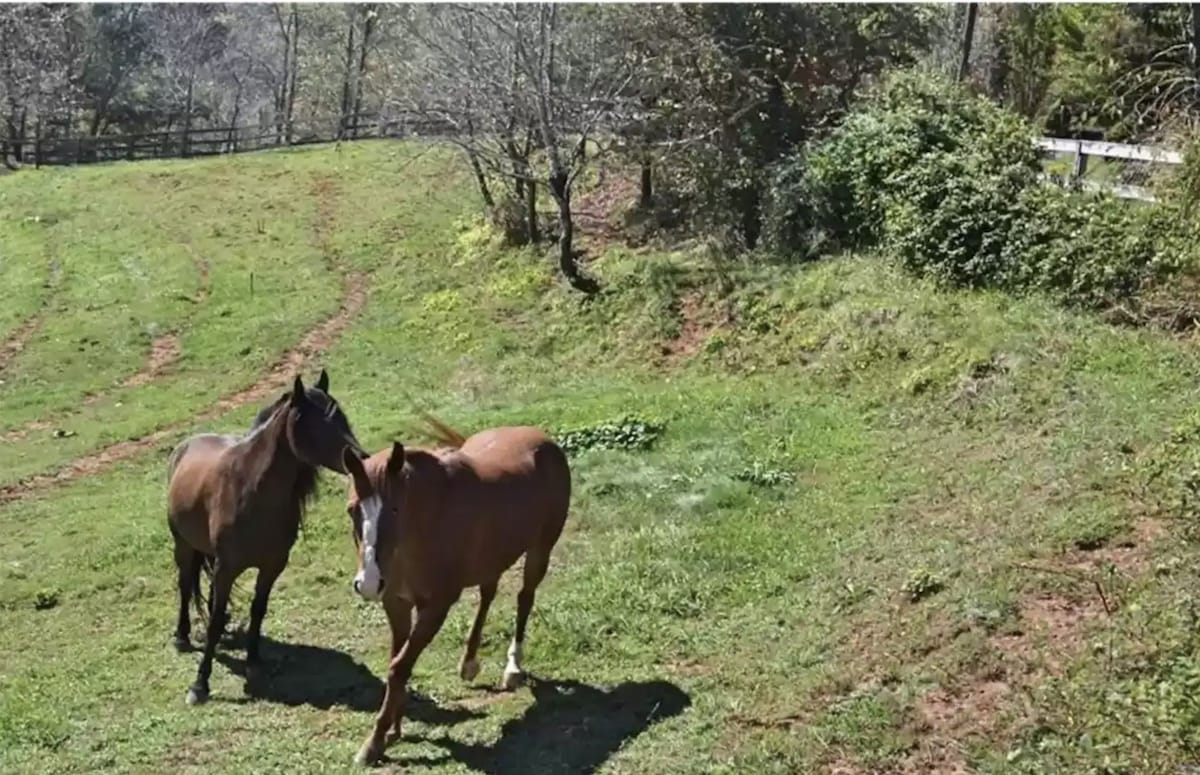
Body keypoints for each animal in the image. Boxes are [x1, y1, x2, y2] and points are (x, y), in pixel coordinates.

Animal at [166, 374, 364, 705]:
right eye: (311, 422)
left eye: (342, 418)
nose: (361, 459)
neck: (250, 491)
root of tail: (185, 445)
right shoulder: (227, 567)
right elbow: (214, 621)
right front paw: (200, 685)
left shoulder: (272, 566)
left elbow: (258, 610)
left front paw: (254, 662)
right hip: (183, 545)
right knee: (184, 586)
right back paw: (181, 636)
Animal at [343, 419, 571, 763]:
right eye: (352, 510)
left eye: (395, 509)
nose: (368, 582)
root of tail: (541, 438)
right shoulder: (396, 603)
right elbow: (396, 662)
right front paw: (394, 730)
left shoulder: (436, 607)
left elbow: (399, 667)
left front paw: (375, 741)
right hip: (493, 557)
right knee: (488, 594)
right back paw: (469, 663)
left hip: (540, 550)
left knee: (524, 598)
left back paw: (513, 667)